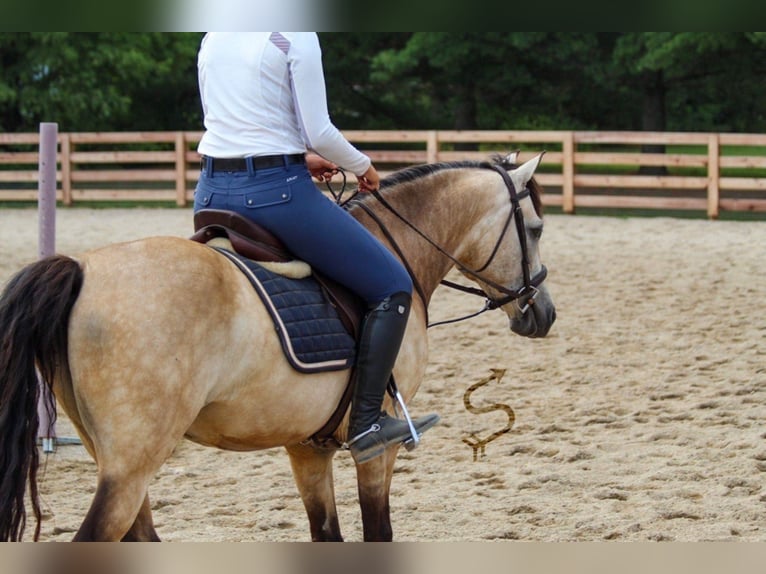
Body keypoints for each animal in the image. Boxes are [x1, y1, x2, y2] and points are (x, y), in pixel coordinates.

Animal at [0, 152, 556, 540]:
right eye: (534, 229)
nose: (544, 313)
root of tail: (81, 269)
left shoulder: (306, 446)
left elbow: (326, 534)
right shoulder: (380, 449)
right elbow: (378, 531)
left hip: (117, 462)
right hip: (131, 467)